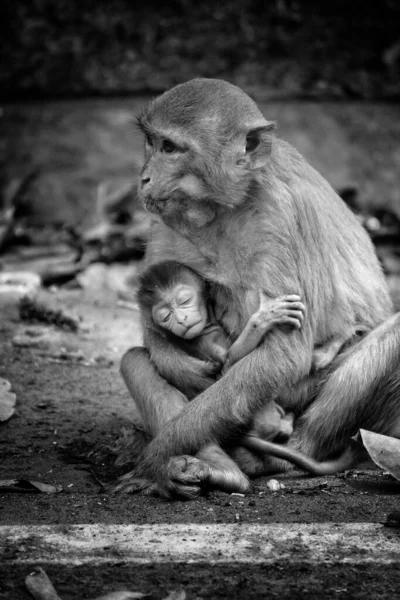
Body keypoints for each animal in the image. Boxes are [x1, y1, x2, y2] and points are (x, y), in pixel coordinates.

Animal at [138, 260, 356, 476]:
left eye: (184, 301)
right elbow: (226, 366)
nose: (181, 319)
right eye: (165, 316)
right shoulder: (206, 338)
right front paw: (262, 320)